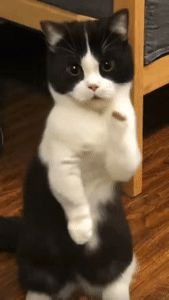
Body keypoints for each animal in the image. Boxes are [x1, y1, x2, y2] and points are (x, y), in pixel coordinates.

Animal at [0, 9, 141, 300]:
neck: (92, 119)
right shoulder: (59, 158)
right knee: (40, 283)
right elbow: (71, 193)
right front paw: (81, 230)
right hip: (38, 253)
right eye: (74, 69)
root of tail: (78, 278)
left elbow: (123, 160)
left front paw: (118, 118)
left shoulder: (123, 162)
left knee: (119, 274)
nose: (94, 86)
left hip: (119, 242)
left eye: (107, 65)